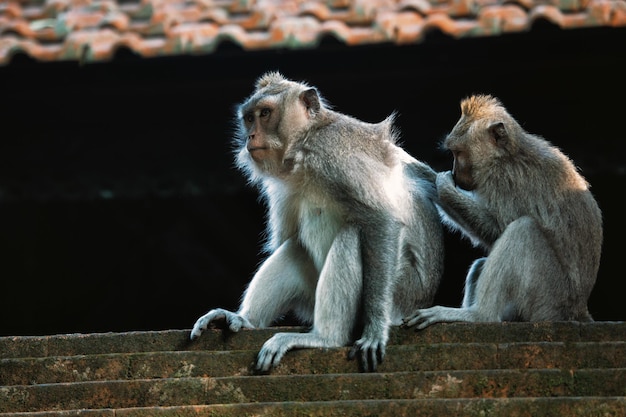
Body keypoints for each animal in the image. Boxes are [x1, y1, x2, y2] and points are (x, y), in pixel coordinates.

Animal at [190, 71, 444, 370]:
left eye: (265, 113)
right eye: (249, 118)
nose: (250, 136)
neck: (304, 144)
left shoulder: (332, 152)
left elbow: (381, 221)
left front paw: (374, 330)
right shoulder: (284, 186)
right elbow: (289, 239)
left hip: (402, 294)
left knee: (351, 235)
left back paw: (325, 338)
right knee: (296, 247)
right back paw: (244, 319)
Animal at [402, 95, 604, 328]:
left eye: (458, 153)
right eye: (452, 153)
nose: (454, 171)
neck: (508, 155)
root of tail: (578, 310)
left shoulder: (504, 180)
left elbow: (496, 230)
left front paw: (439, 183)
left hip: (549, 299)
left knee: (523, 230)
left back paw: (478, 315)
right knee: (484, 263)